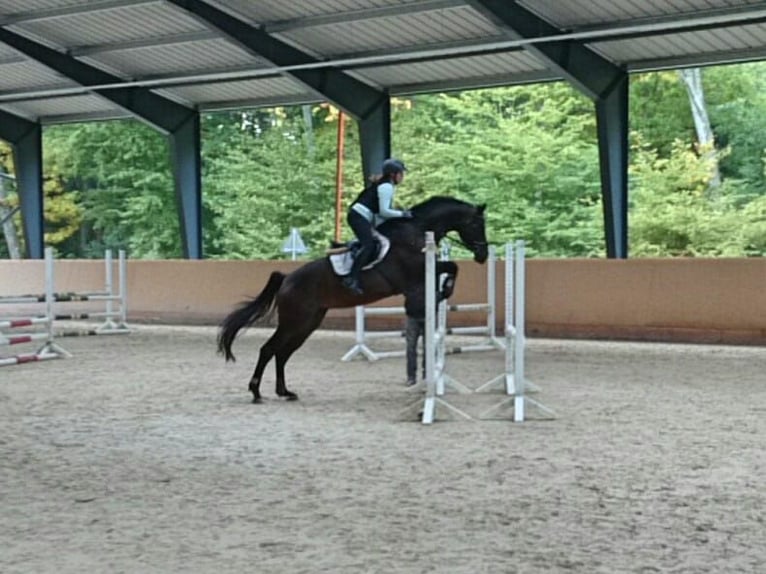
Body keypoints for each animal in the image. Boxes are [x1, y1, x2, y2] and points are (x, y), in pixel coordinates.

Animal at [219, 196, 488, 402]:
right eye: (476, 224)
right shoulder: (416, 274)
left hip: (307, 323)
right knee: (269, 350)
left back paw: (284, 392)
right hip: (294, 321)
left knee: (282, 353)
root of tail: (286, 279)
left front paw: (443, 291)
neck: (416, 231)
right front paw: (444, 291)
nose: (483, 255)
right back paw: (256, 392)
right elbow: (451, 267)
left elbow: (451, 267)